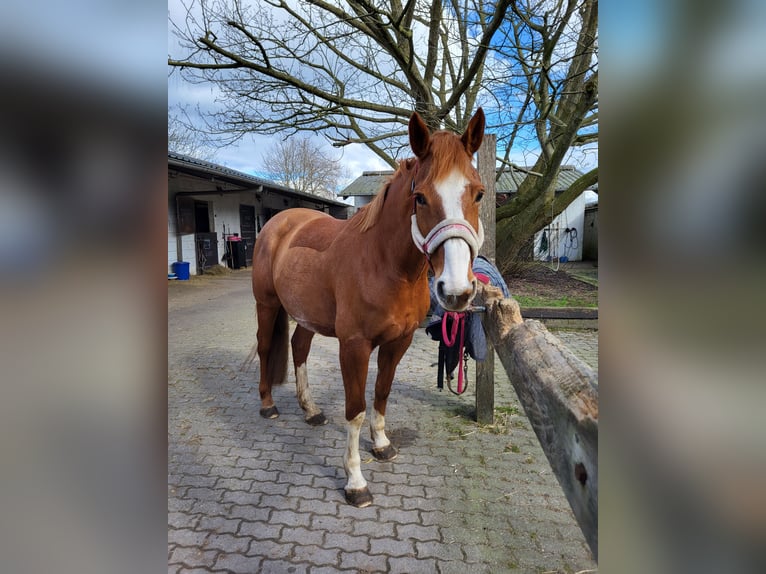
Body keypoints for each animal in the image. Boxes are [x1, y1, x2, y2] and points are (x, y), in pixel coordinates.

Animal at [255, 109, 488, 508]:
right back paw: (268, 405)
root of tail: (279, 222)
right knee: (266, 347)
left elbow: (381, 393)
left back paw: (311, 410)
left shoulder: (399, 342)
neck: (385, 265)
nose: (457, 290)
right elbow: (356, 410)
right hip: (267, 305)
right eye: (420, 198)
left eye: (479, 193)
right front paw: (355, 481)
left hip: (307, 316)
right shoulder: (354, 347)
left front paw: (381, 445)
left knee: (299, 348)